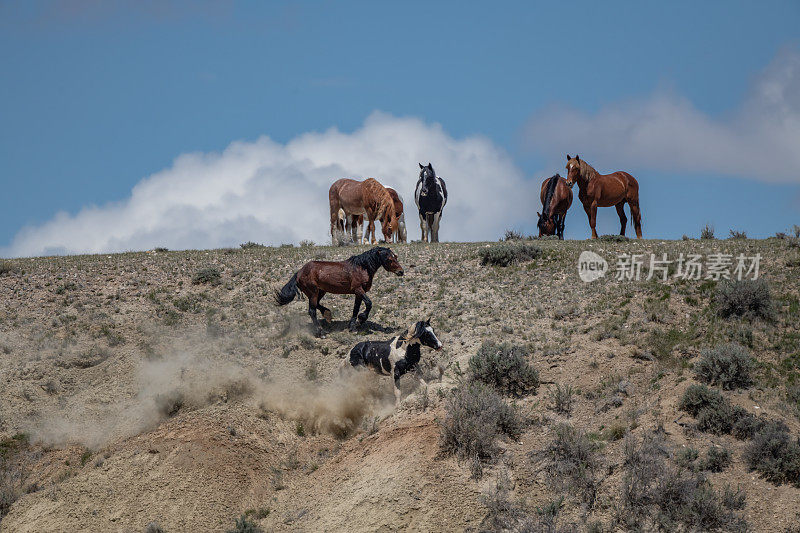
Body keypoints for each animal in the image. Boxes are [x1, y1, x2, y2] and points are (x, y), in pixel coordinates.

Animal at [276, 246, 404, 336]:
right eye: (389, 259)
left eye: (396, 257)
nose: (401, 271)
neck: (362, 267)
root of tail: (299, 273)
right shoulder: (358, 290)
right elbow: (369, 303)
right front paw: (361, 319)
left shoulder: (358, 293)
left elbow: (355, 309)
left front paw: (353, 327)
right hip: (313, 293)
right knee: (312, 311)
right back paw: (321, 332)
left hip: (320, 292)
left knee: (317, 305)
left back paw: (327, 315)